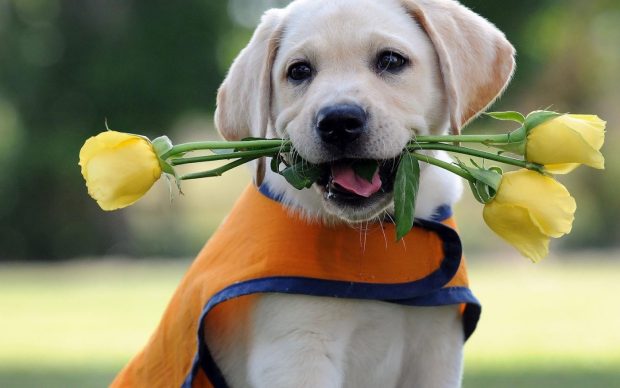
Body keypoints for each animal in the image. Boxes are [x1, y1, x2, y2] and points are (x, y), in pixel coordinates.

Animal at [209, 0, 512, 386]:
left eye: (391, 61)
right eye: (299, 71)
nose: (338, 121)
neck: (371, 234)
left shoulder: (437, 349)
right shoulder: (295, 352)